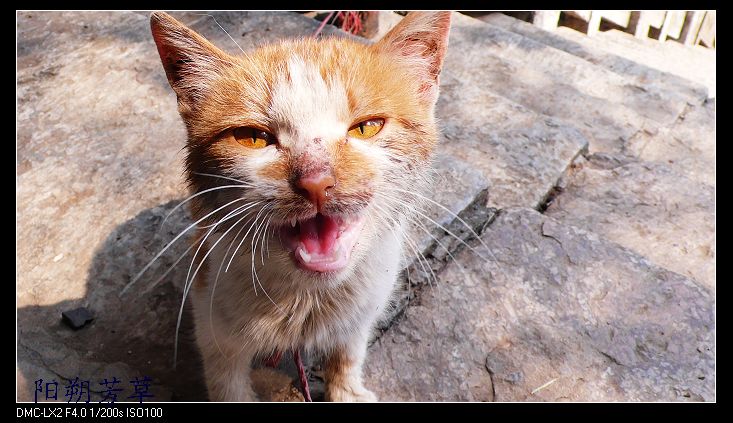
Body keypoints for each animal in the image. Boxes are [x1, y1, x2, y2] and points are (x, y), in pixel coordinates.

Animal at [150, 9, 452, 400]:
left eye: (367, 127)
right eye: (252, 137)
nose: (316, 181)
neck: (307, 299)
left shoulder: (362, 312)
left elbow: (348, 353)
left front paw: (346, 390)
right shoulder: (213, 324)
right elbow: (227, 383)